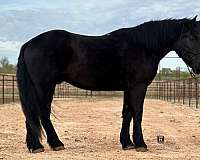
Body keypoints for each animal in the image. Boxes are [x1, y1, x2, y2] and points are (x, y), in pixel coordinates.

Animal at [16, 16, 200, 152]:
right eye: (190, 37)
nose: (199, 67)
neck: (142, 47)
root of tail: (29, 43)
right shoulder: (138, 86)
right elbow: (138, 113)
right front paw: (140, 144)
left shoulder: (129, 88)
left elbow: (127, 113)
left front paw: (127, 143)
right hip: (44, 87)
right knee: (41, 113)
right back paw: (53, 144)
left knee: (31, 114)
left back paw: (35, 146)